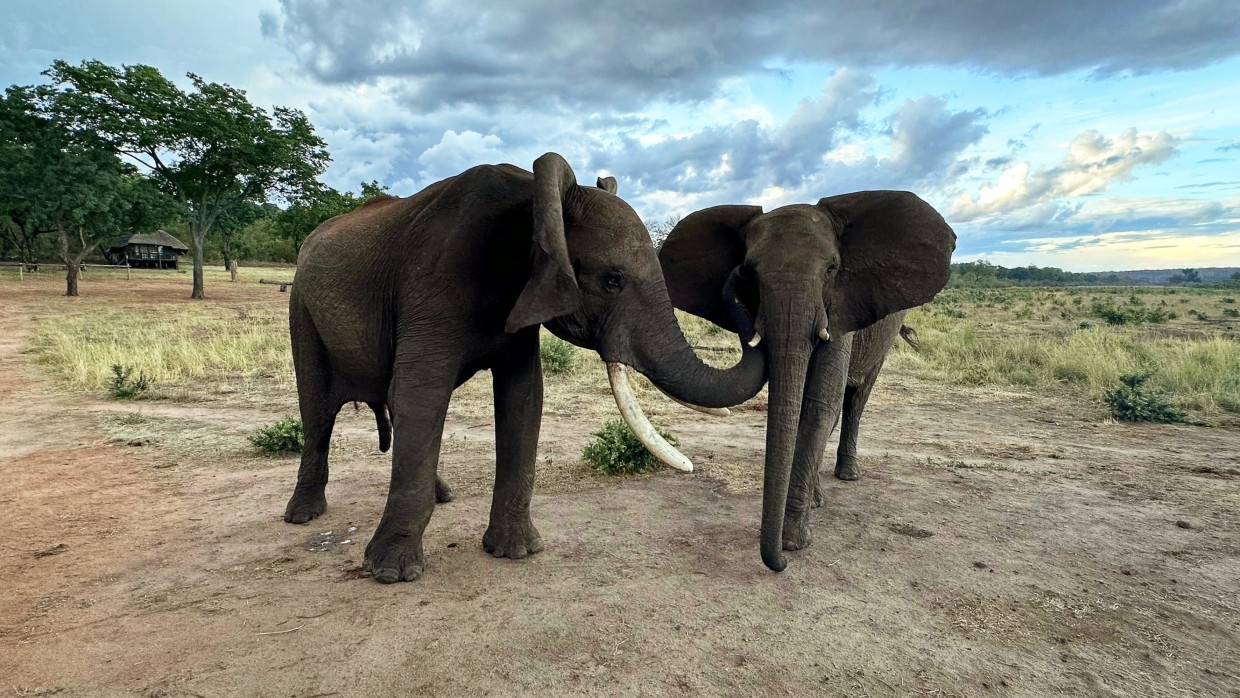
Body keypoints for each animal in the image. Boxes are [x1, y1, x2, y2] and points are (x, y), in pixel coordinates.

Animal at [283, 153, 763, 585]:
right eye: (612, 280)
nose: (742, 275)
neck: (532, 200)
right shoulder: (432, 282)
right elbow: (422, 395)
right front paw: (390, 574)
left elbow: (523, 398)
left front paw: (515, 552)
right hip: (301, 307)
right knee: (318, 411)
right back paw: (303, 516)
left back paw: (443, 495)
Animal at [659, 190, 957, 572]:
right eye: (750, 273)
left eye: (831, 270)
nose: (780, 563)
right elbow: (798, 403)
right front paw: (797, 530)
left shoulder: (842, 308)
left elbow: (818, 402)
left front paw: (792, 543)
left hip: (884, 338)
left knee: (856, 399)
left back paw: (848, 475)